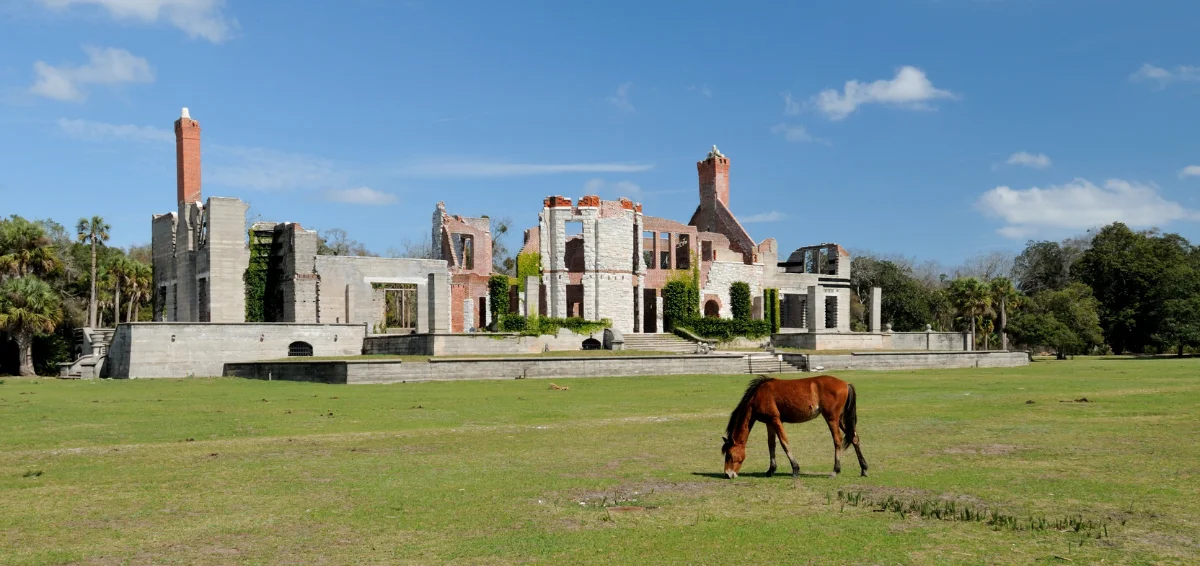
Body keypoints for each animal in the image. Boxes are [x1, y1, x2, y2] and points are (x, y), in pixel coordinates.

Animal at [715, 374, 868, 479]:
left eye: (729, 455)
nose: (728, 474)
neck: (758, 395)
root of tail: (845, 383)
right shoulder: (769, 423)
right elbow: (771, 445)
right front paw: (771, 470)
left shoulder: (776, 420)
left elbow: (784, 443)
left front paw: (795, 469)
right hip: (841, 420)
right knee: (854, 438)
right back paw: (864, 469)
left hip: (832, 419)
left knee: (837, 440)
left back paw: (835, 470)